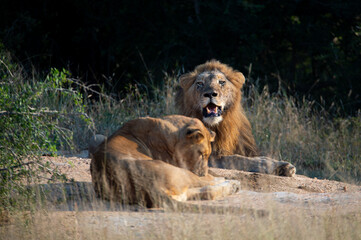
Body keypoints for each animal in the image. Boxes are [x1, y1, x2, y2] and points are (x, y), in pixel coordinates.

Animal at [89, 115, 239, 207]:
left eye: (208, 156)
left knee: (207, 192)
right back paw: (233, 183)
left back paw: (233, 186)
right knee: (208, 184)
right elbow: (211, 176)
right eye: (202, 154)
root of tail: (151, 188)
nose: (202, 173)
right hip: (181, 173)